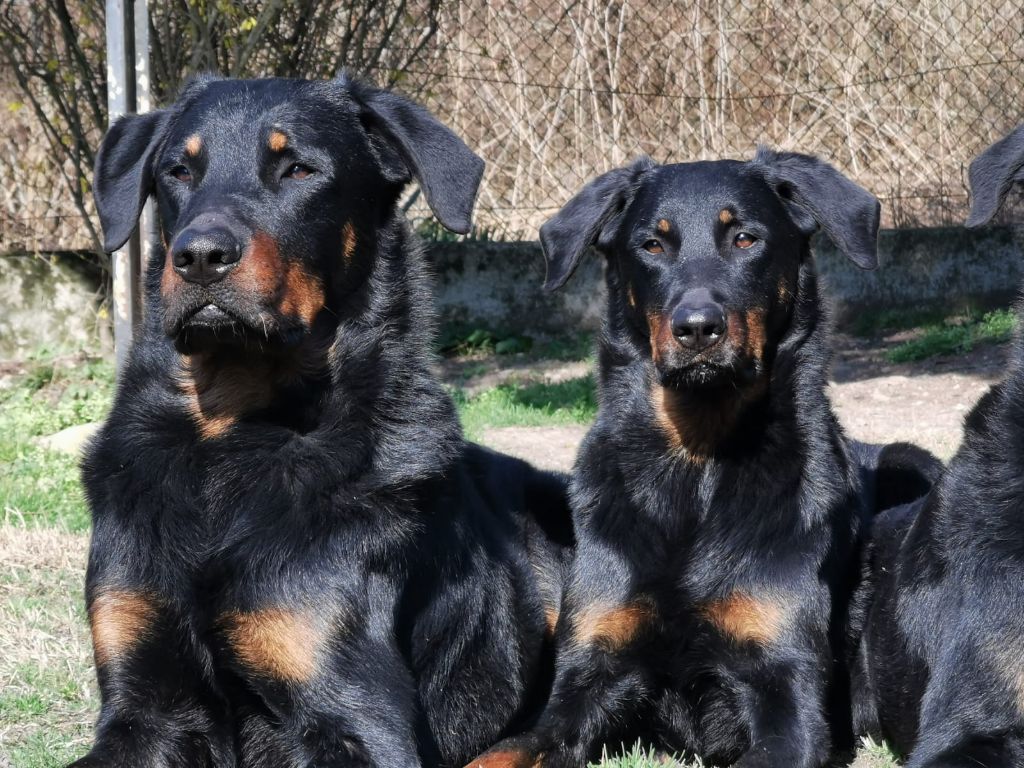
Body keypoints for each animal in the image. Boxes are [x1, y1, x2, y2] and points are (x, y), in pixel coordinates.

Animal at [69, 75, 573, 768]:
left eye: (300, 169)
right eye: (178, 170)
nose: (199, 256)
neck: (229, 433)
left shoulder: (356, 717)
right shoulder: (143, 705)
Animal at [466, 150, 942, 768]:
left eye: (745, 238)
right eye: (651, 245)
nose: (697, 329)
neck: (696, 467)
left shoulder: (786, 695)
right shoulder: (584, 679)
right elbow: (500, 750)